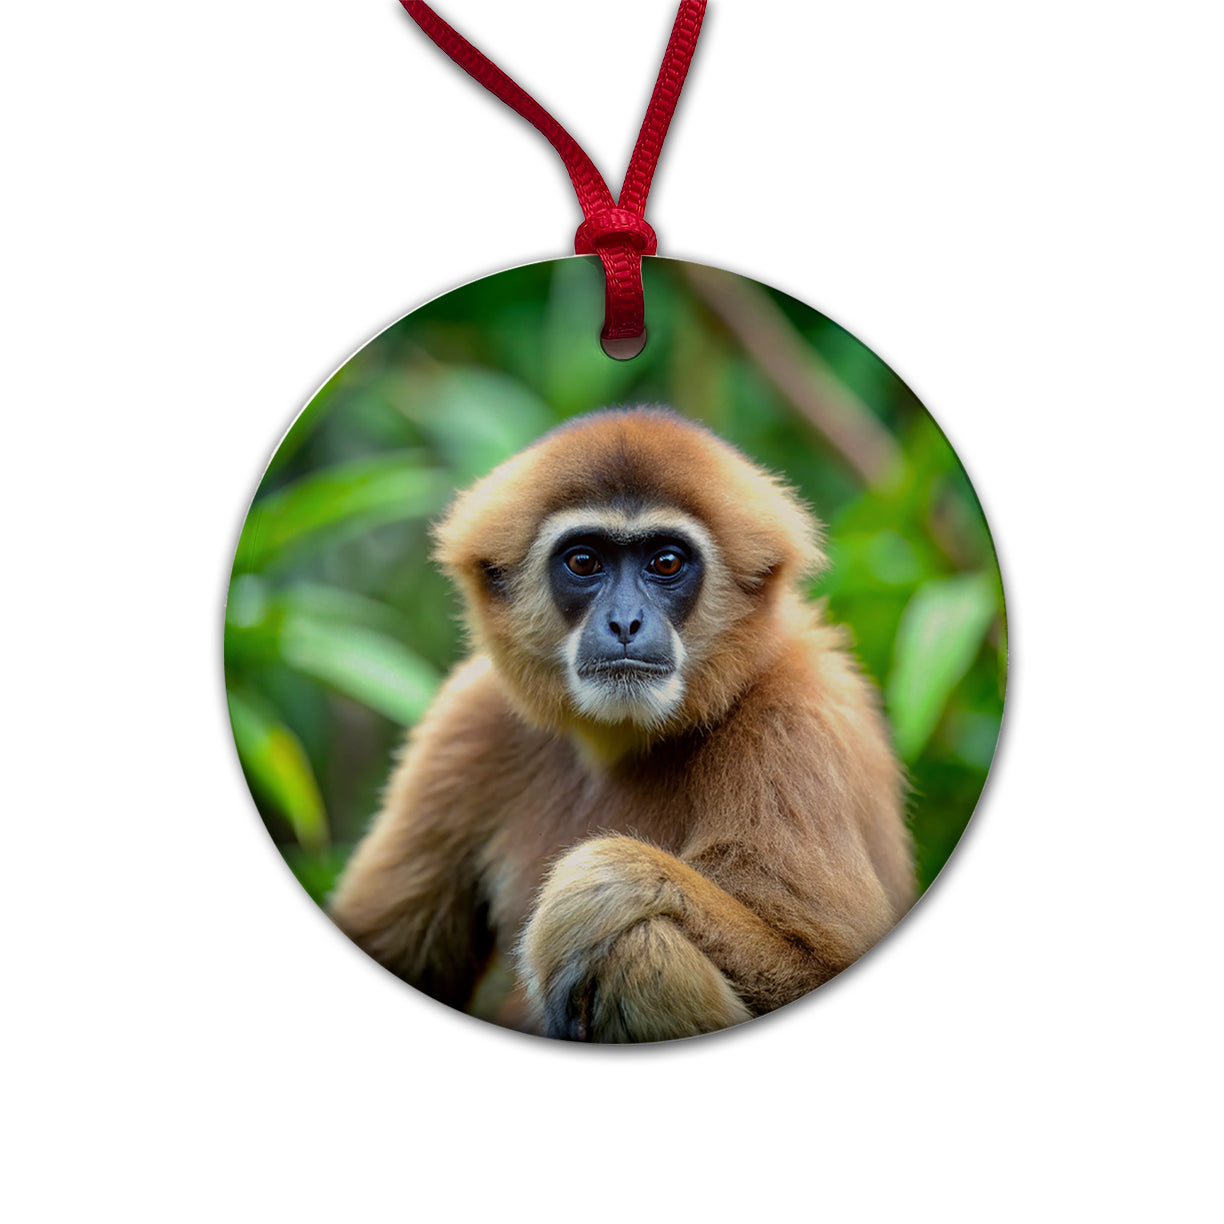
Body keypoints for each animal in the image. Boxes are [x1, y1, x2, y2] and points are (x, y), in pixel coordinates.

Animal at [328, 407, 914, 1042]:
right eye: (584, 561)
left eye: (666, 563)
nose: (626, 620)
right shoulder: (466, 718)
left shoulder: (793, 722)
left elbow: (820, 963)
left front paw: (597, 888)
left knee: (638, 949)